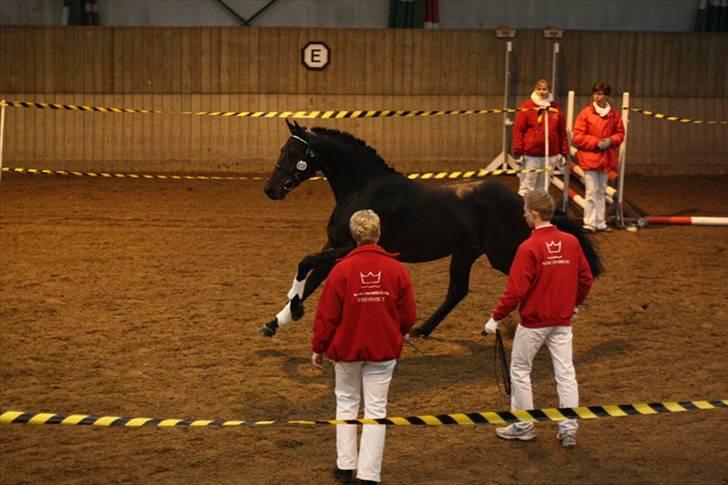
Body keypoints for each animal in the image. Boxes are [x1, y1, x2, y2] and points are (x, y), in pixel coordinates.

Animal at [258, 121, 600, 338]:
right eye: (283, 150)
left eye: (295, 154)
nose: (270, 190)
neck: (363, 188)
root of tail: (518, 198)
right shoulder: (334, 244)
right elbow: (312, 276)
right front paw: (277, 321)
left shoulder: (350, 247)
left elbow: (305, 263)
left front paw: (293, 310)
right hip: (465, 253)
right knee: (457, 291)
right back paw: (421, 330)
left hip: (500, 253)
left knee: (525, 277)